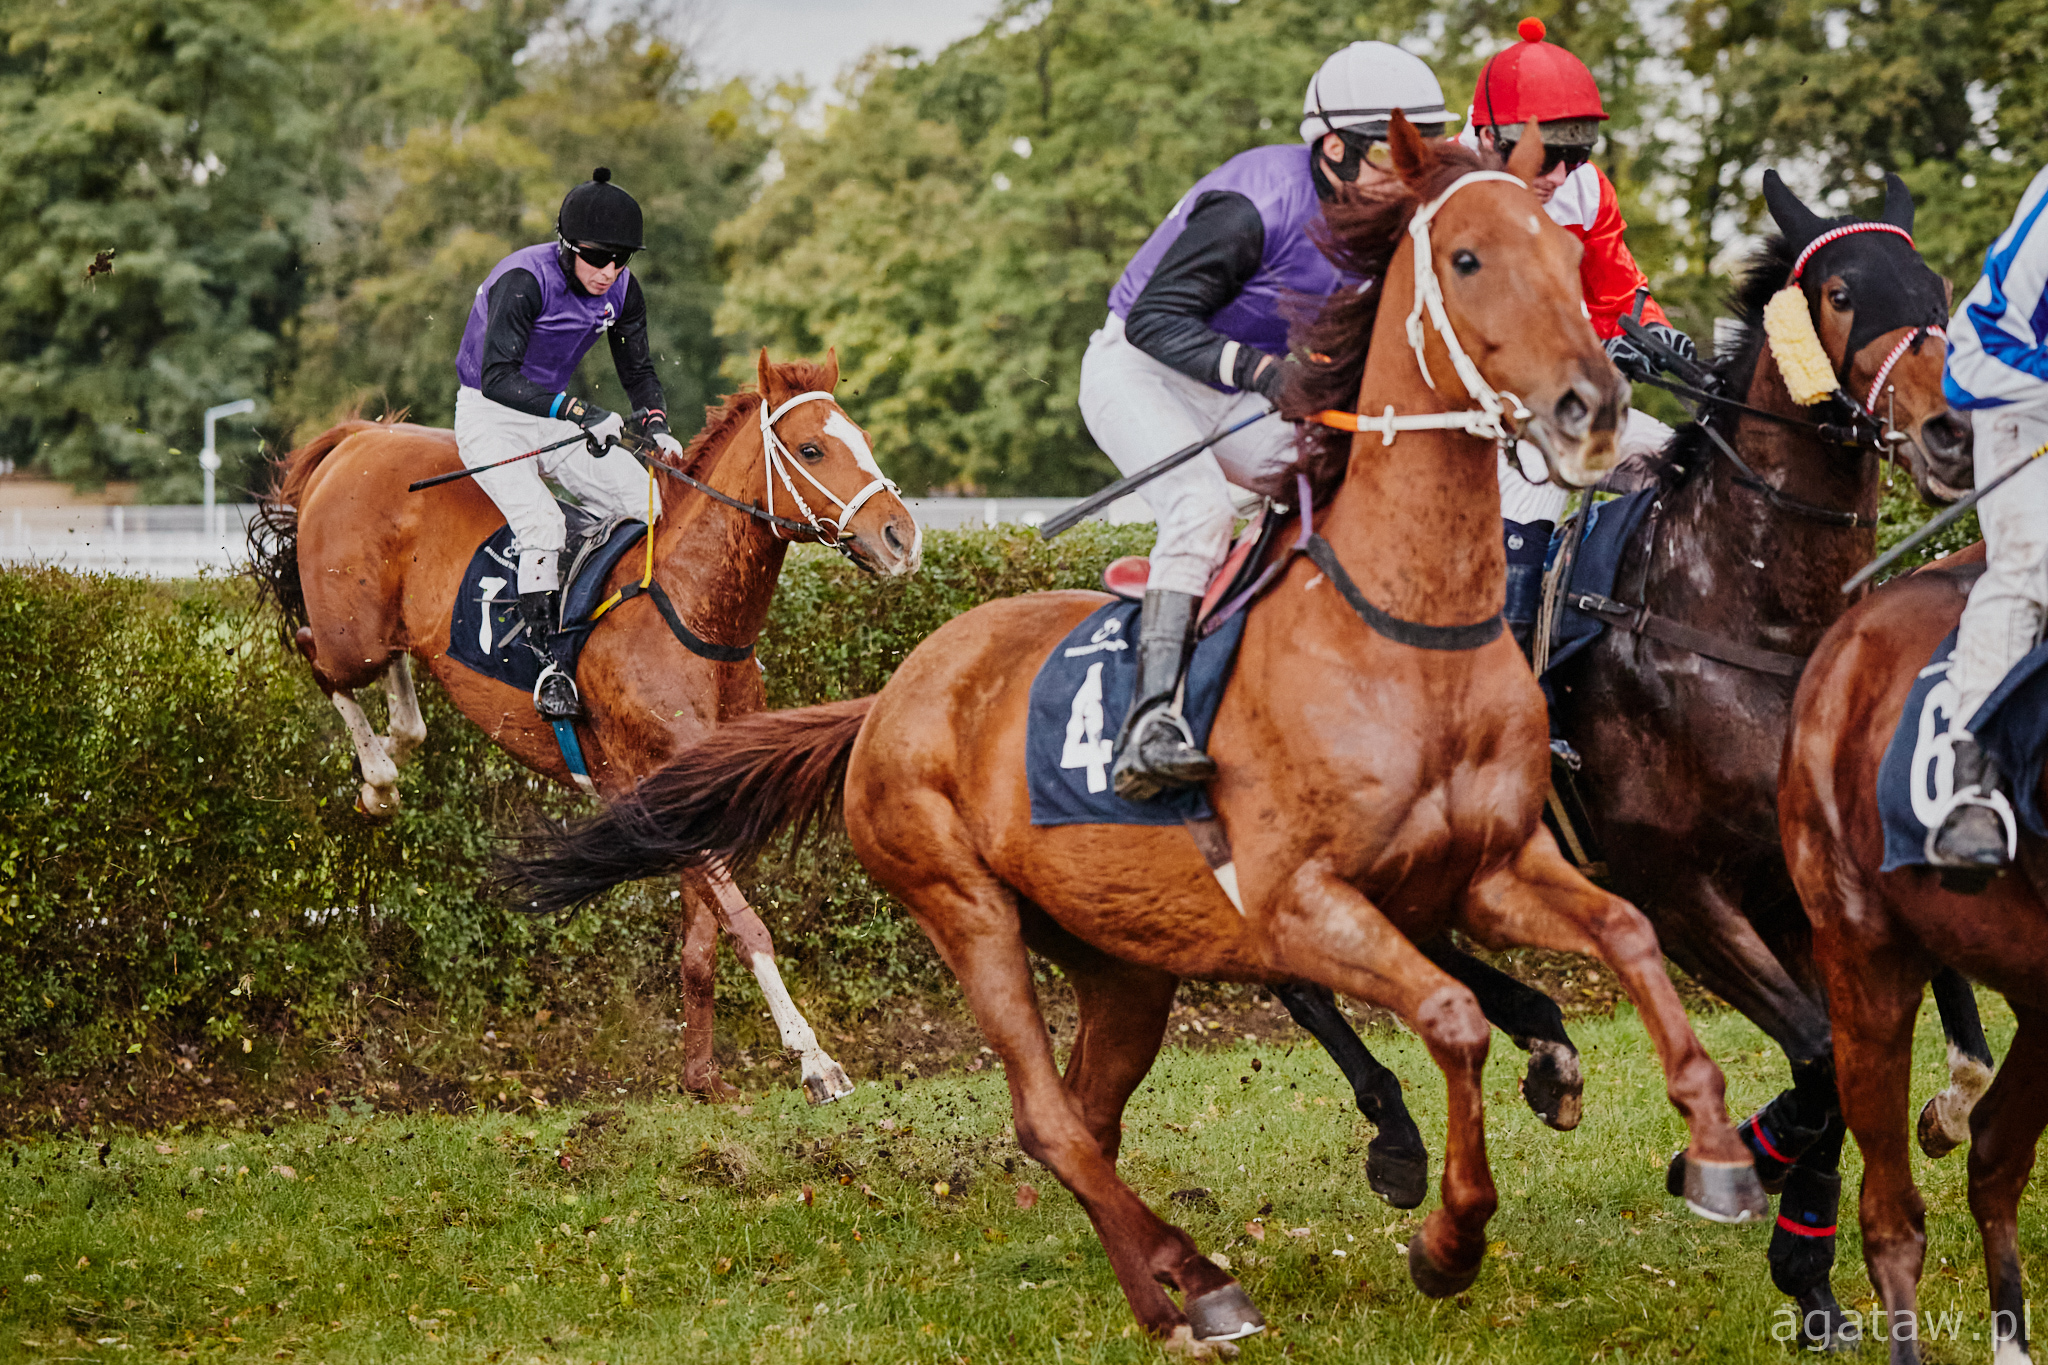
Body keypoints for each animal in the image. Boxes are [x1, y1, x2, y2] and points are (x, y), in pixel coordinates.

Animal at [246, 350, 920, 1106]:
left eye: (862, 437)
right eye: (811, 450)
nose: (902, 538)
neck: (691, 612)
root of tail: (361, 436)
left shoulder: (700, 790)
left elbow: (703, 940)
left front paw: (701, 1075)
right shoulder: (655, 786)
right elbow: (745, 923)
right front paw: (815, 1060)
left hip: (389, 629)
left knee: (401, 686)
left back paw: (391, 752)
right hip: (349, 632)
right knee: (317, 653)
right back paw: (379, 777)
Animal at [498, 121, 1767, 1351]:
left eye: (1567, 257)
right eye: (1463, 259)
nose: (1591, 407)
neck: (1398, 623)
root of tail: (895, 691)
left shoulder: (1488, 866)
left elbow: (1624, 935)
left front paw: (1713, 1150)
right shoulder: (1306, 899)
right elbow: (1452, 1016)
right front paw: (1449, 1233)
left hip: (1118, 956)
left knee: (1081, 1113)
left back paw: (1167, 1288)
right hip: (967, 912)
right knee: (1048, 1115)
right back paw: (1203, 1281)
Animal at [1262, 171, 1984, 1349]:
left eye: (1934, 286)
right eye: (1839, 291)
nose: (1949, 432)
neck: (1742, 619)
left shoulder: (1802, 879)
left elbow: (1844, 1058)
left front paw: (1808, 1255)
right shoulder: (1675, 887)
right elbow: (1818, 1055)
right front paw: (1748, 1181)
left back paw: (1539, 1048)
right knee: (1293, 962)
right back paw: (1401, 1139)